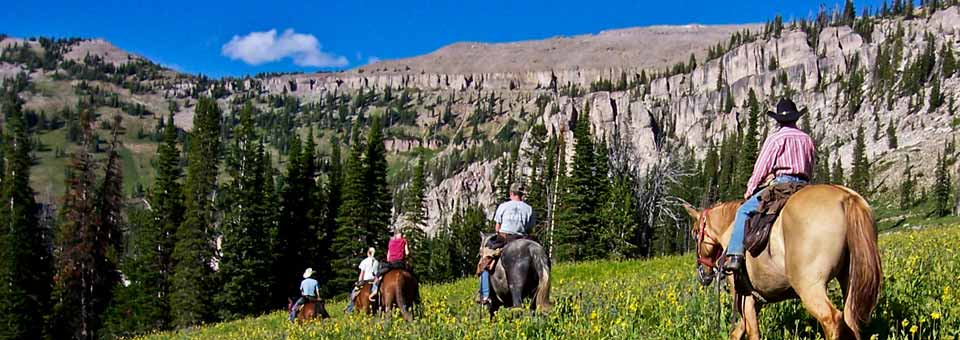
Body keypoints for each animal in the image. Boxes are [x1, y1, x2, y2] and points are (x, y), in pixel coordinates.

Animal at [684, 185, 884, 340]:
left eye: (694, 233)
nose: (702, 274)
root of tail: (845, 197)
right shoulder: (756, 300)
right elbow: (738, 332)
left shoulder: (745, 297)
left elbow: (752, 333)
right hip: (849, 280)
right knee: (850, 319)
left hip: (809, 286)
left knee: (832, 319)